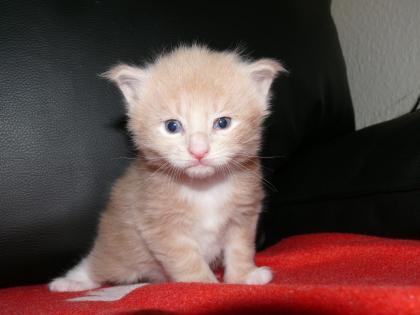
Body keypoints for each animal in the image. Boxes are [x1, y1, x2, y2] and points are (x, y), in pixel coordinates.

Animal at [50, 45, 286, 292]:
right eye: (172, 126)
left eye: (223, 123)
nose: (198, 151)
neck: (204, 188)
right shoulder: (161, 225)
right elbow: (187, 260)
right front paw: (204, 285)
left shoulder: (243, 215)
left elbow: (240, 249)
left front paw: (243, 277)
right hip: (121, 251)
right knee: (98, 263)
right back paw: (71, 281)